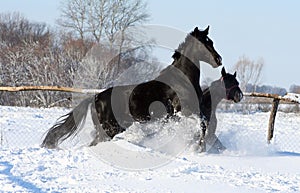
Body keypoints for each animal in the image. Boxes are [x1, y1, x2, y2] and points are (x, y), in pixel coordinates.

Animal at [41, 26, 223, 150]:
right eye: (204, 43)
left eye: (212, 42)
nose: (218, 60)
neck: (182, 80)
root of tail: (95, 98)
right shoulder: (182, 112)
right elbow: (201, 125)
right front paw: (198, 147)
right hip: (109, 129)